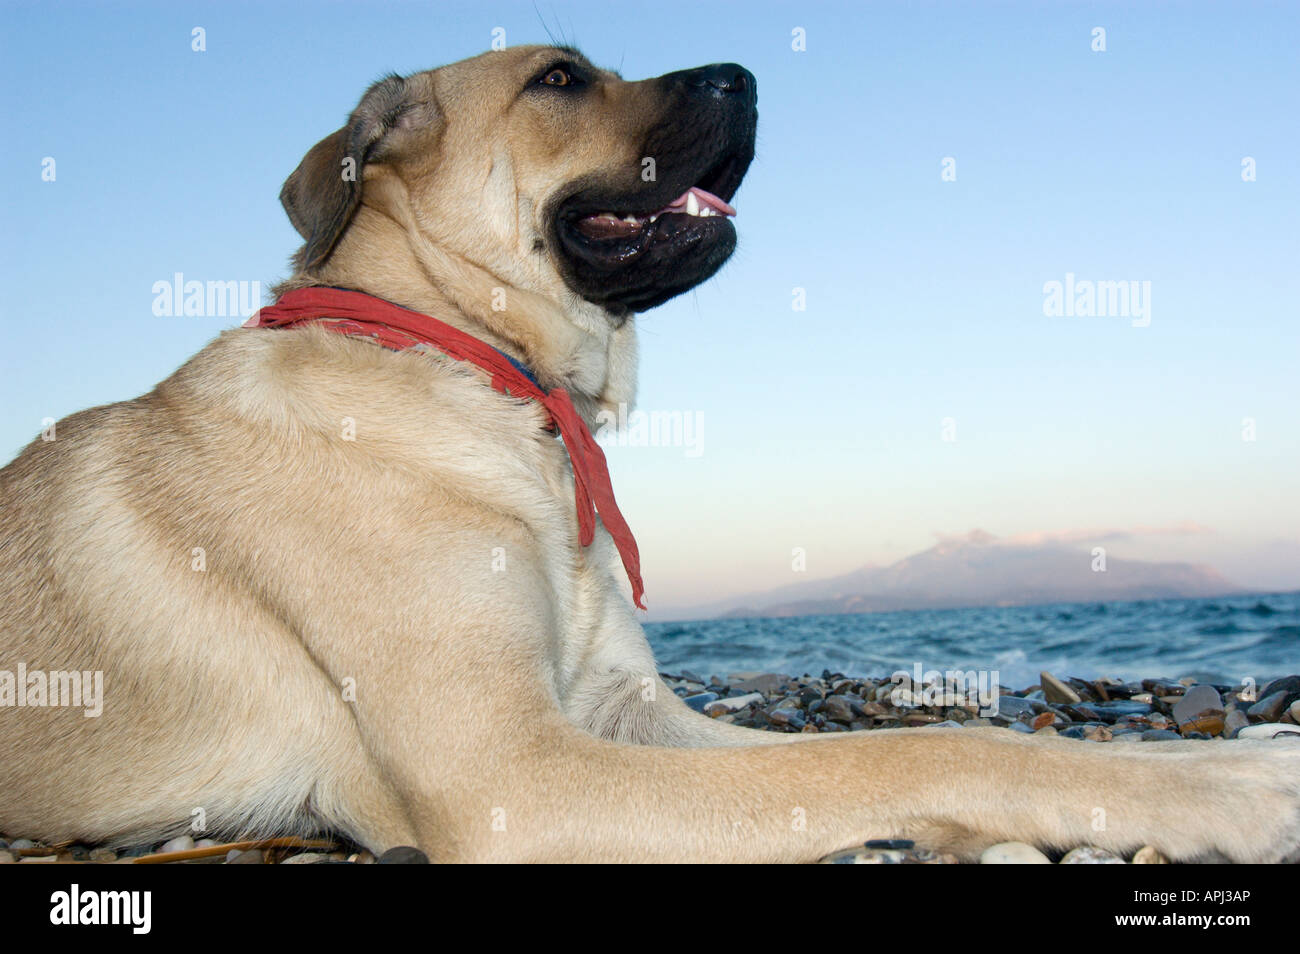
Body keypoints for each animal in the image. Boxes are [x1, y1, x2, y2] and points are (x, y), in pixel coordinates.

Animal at [2, 46, 1300, 868]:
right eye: (560, 78)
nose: (751, 75)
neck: (485, 371)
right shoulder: (513, 778)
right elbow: (909, 753)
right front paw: (1232, 789)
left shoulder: (628, 717)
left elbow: (900, 744)